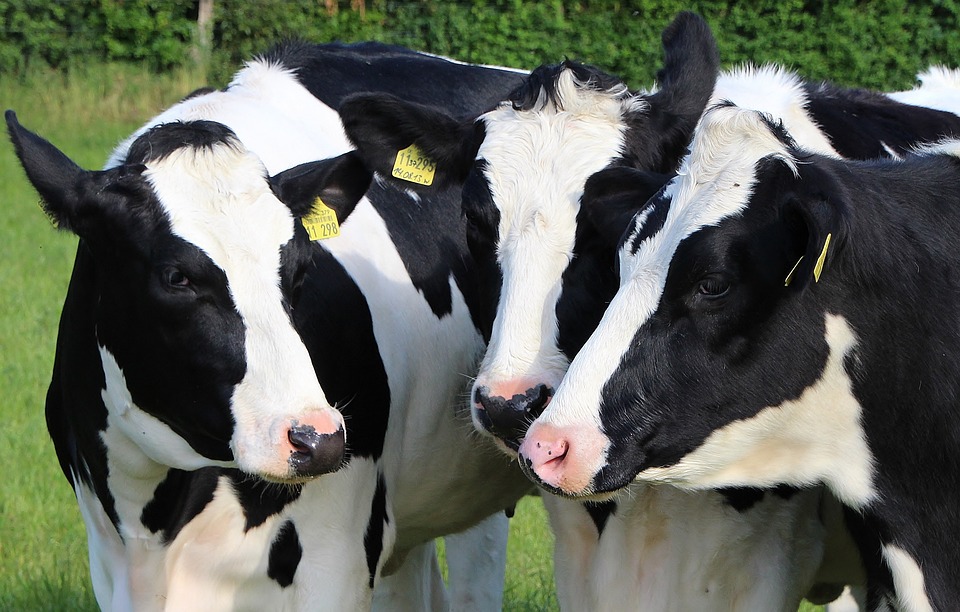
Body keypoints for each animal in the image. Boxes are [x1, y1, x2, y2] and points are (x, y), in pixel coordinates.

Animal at [7, 41, 534, 611]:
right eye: (177, 277)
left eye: (300, 268)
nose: (315, 439)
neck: (162, 515)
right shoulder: (111, 564)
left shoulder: (335, 561)